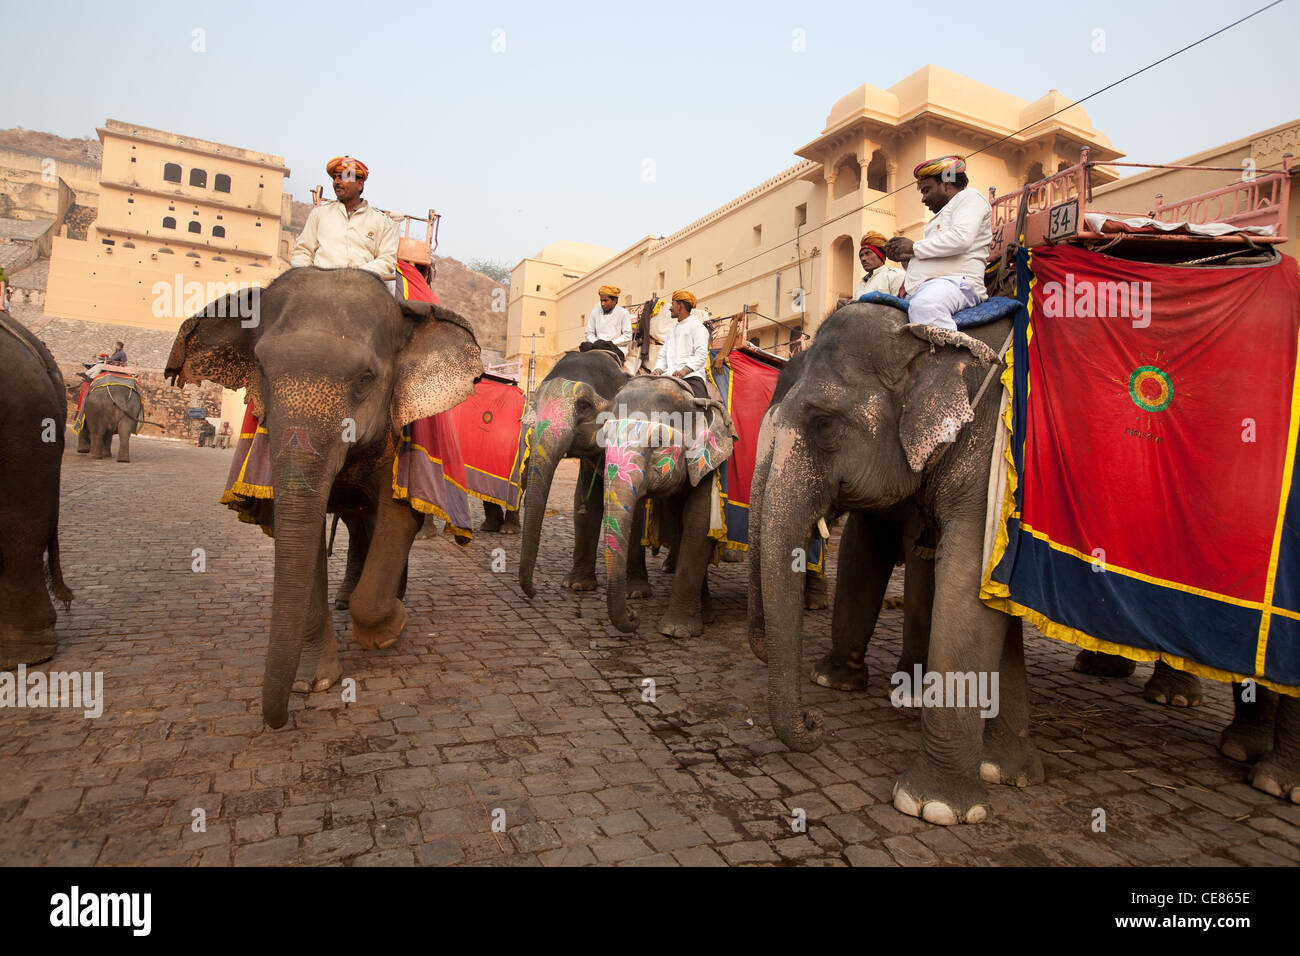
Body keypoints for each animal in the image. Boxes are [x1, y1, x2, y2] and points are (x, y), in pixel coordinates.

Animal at [166, 265, 483, 728]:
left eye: (366, 380)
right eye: (261, 370)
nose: (278, 720)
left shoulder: (401, 434)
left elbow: (398, 516)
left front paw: (390, 630)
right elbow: (297, 524)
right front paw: (311, 683)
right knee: (357, 524)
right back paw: (345, 597)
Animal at [512, 343, 644, 598]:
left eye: (584, 405)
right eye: (536, 404)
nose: (533, 592)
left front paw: (635, 592)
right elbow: (584, 502)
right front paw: (577, 585)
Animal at [603, 377, 738, 639]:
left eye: (658, 442)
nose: (633, 613)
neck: (691, 396)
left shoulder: (713, 464)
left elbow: (699, 524)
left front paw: (677, 631)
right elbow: (679, 526)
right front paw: (704, 617)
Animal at [754, 303, 1034, 827]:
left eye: (822, 423)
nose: (815, 723)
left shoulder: (993, 457)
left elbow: (968, 584)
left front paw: (935, 806)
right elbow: (866, 546)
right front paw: (834, 682)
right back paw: (1006, 770)